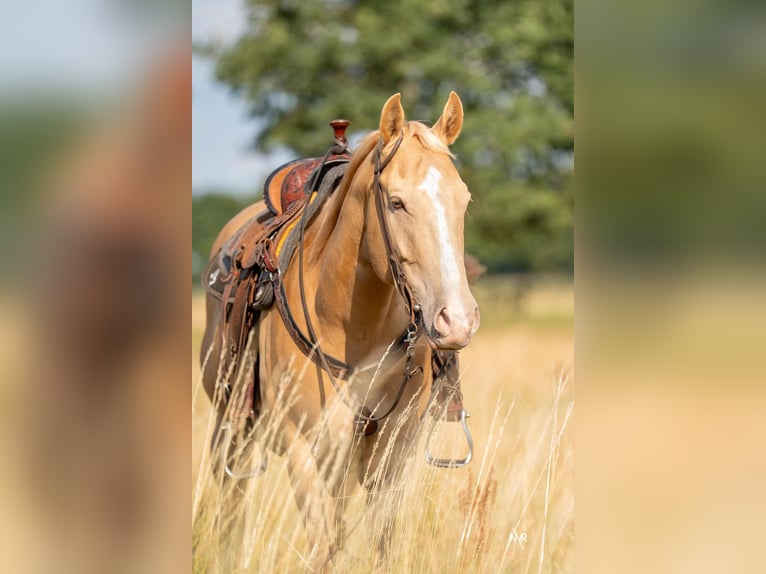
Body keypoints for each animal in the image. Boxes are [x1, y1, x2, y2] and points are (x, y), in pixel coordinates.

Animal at [200, 91, 479, 568]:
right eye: (396, 203)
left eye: (464, 200)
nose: (456, 321)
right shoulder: (304, 452)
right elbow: (325, 550)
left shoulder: (390, 455)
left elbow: (380, 546)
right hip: (229, 425)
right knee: (232, 505)